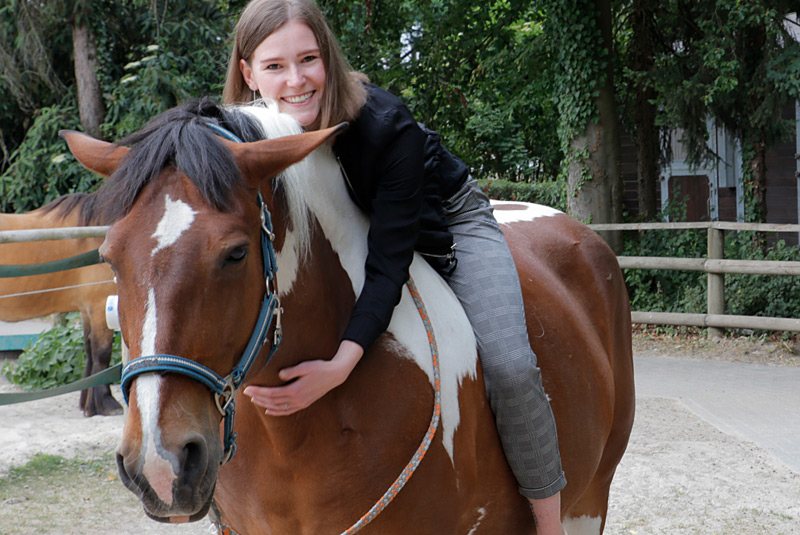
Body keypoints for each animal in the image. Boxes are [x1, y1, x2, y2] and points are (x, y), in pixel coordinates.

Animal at [0, 197, 120, 418]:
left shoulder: (87, 310)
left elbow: (89, 351)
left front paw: (87, 404)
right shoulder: (100, 307)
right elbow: (102, 354)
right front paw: (107, 402)